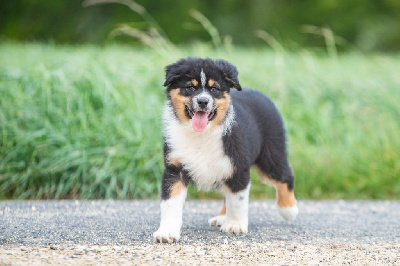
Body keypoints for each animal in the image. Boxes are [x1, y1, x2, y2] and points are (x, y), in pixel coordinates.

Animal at [153, 57, 296, 243]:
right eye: (190, 87)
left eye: (214, 89)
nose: (203, 101)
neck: (201, 134)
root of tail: (259, 93)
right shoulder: (174, 169)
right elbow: (170, 203)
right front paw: (167, 232)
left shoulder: (238, 168)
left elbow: (238, 200)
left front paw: (235, 225)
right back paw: (221, 217)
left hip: (270, 156)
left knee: (285, 176)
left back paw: (289, 210)